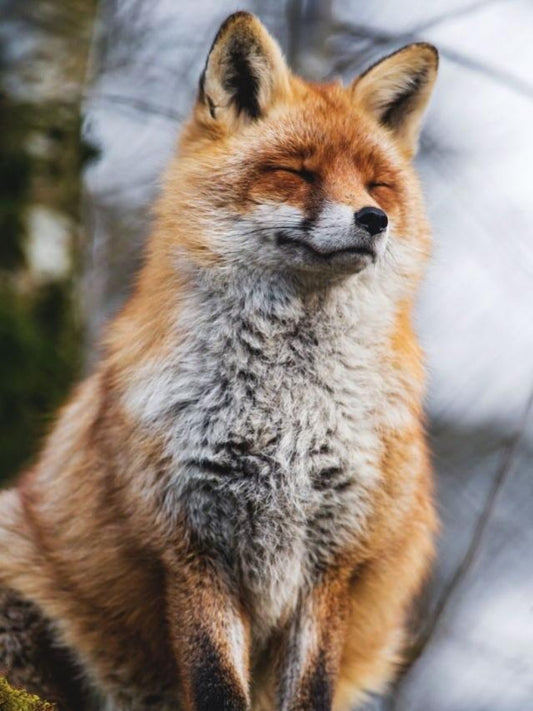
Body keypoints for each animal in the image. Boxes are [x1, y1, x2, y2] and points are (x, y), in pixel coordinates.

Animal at [0, 11, 439, 711]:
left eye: (378, 184)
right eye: (298, 173)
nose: (374, 219)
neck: (288, 420)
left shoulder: (334, 560)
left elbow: (311, 688)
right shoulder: (189, 547)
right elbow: (213, 681)